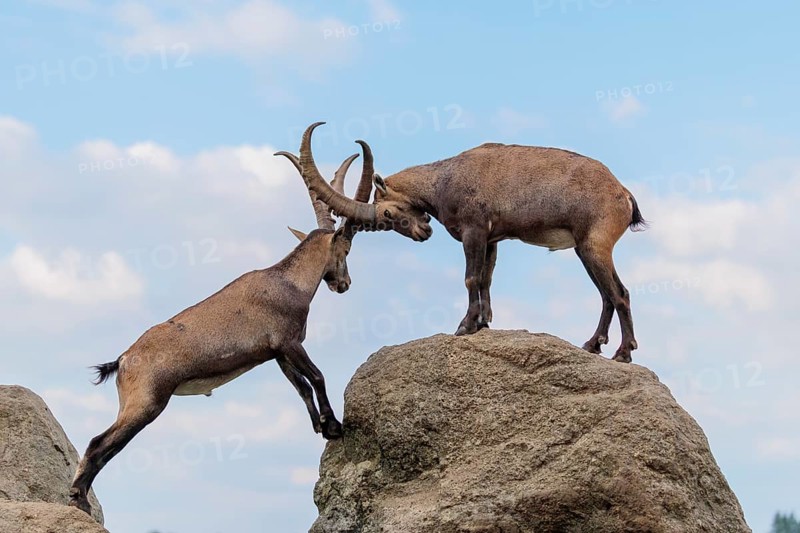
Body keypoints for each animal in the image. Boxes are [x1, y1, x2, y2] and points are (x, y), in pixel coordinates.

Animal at [68, 134, 373, 516]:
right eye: (345, 249)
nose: (344, 284)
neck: (289, 282)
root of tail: (122, 361)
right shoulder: (289, 342)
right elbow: (316, 377)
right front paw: (333, 426)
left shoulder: (276, 353)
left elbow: (301, 386)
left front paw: (319, 425)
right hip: (145, 404)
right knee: (99, 444)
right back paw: (78, 500)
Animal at [287, 122, 646, 363]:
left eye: (387, 212)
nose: (424, 232)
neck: (443, 180)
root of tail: (623, 194)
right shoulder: (493, 238)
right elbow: (486, 278)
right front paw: (483, 322)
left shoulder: (473, 230)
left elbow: (471, 277)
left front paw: (464, 326)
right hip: (585, 250)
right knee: (607, 295)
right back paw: (593, 345)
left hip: (593, 246)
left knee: (619, 293)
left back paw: (623, 353)